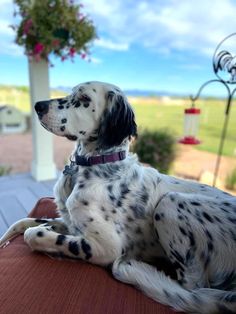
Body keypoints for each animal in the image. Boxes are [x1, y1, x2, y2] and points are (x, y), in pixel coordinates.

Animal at [0, 81, 236, 314]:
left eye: (84, 99)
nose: (38, 106)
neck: (96, 164)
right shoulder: (71, 222)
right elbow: (23, 222)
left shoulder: (107, 247)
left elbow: (34, 234)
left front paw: (44, 234)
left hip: (170, 202)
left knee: (192, 287)